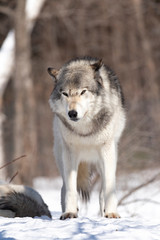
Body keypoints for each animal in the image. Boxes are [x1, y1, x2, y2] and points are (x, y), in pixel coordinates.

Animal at [48, 55, 125, 219]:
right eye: (65, 93)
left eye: (83, 91)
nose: (72, 113)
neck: (85, 131)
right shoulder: (70, 153)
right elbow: (71, 189)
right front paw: (70, 212)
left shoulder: (107, 151)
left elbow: (109, 188)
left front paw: (111, 213)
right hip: (61, 158)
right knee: (64, 188)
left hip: (107, 159)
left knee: (102, 191)